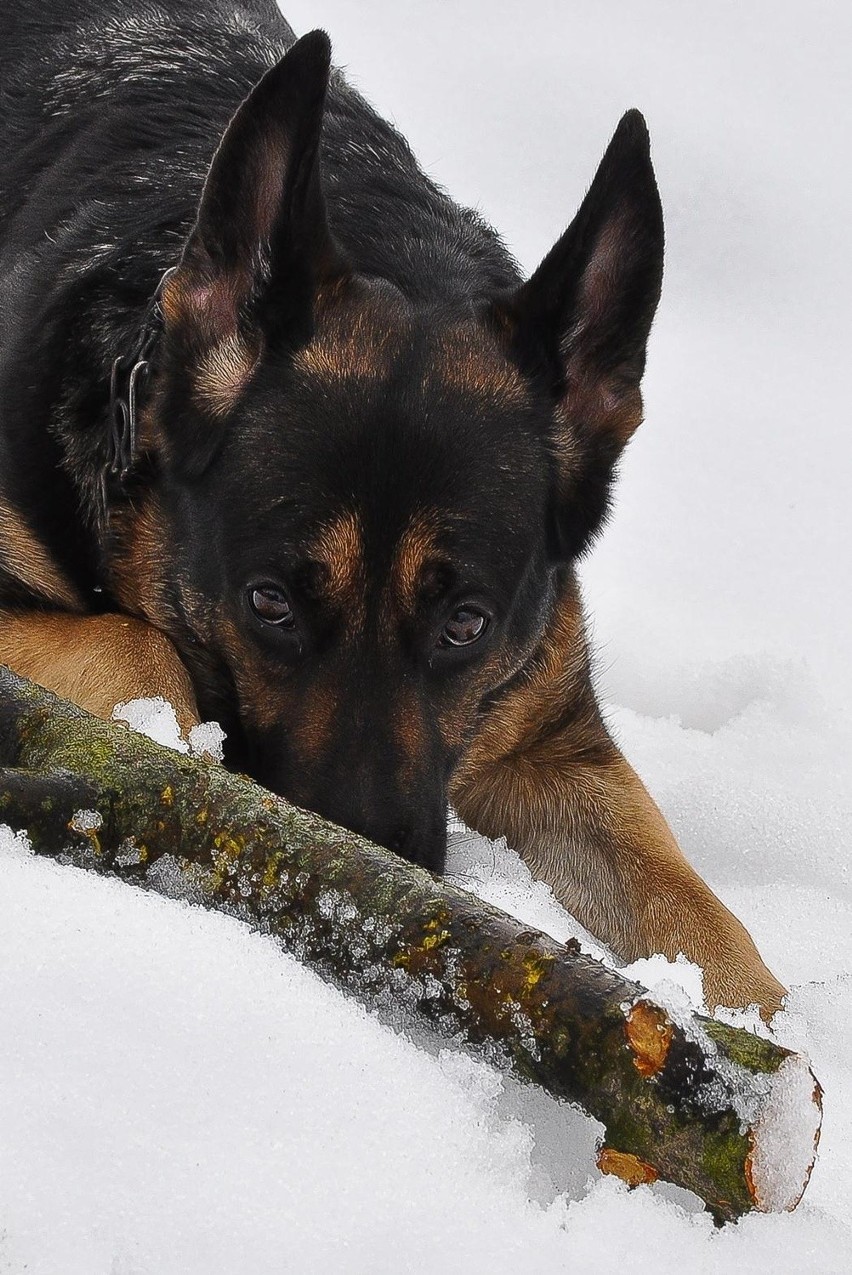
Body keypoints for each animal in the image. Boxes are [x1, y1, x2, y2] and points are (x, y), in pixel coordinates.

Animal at [1, 2, 785, 1014]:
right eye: (268, 602)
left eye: (466, 622)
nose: (363, 879)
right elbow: (134, 646)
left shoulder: (554, 744)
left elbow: (703, 922)